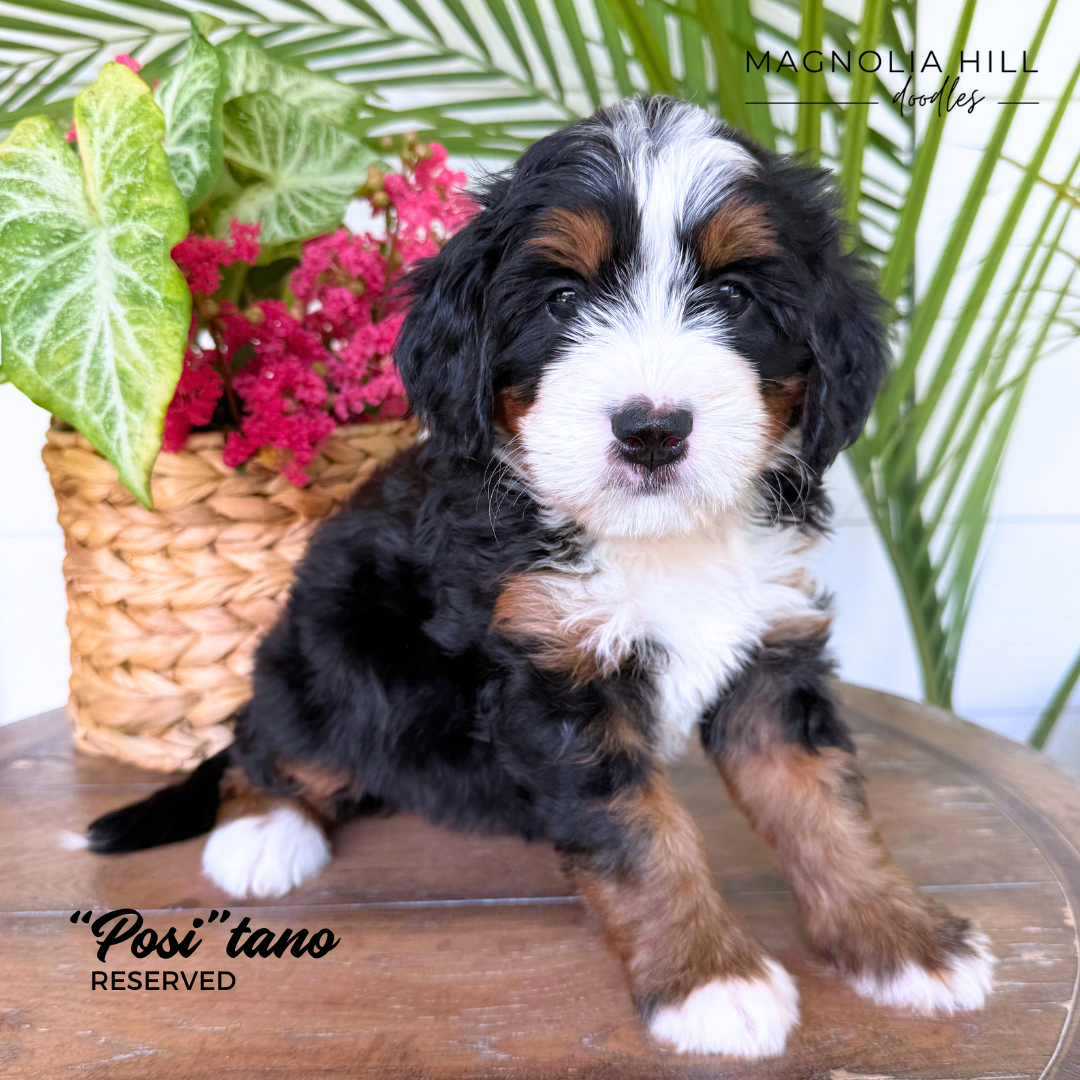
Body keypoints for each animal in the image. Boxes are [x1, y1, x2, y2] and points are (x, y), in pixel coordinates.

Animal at [85, 96, 994, 1059]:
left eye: (733, 297)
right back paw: (264, 831)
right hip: (336, 651)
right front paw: (709, 978)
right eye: (563, 299)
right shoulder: (555, 679)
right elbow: (646, 837)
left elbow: (827, 806)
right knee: (271, 737)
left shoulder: (771, 657)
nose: (652, 430)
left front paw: (900, 938)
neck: (658, 539)